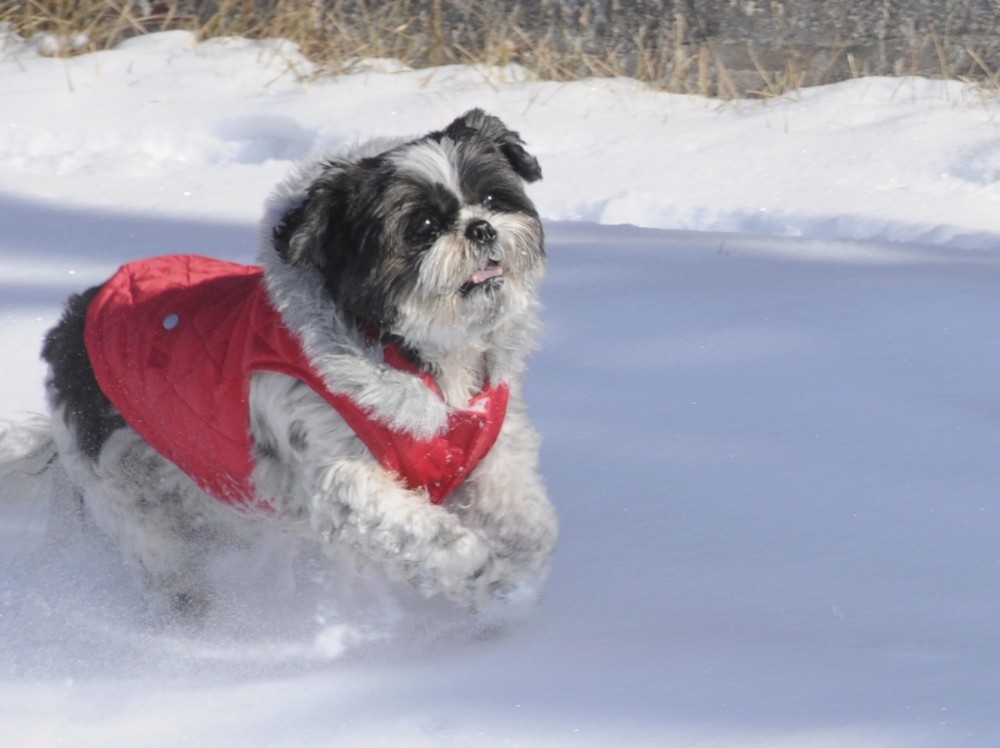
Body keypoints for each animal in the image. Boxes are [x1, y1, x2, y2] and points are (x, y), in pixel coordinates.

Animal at [35, 109, 560, 612]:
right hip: (128, 500)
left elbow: (530, 524)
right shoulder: (345, 482)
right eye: (424, 227)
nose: (482, 227)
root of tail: (73, 319)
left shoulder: (491, 450)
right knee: (165, 565)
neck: (426, 360)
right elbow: (437, 540)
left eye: (493, 199)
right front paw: (494, 582)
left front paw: (522, 566)